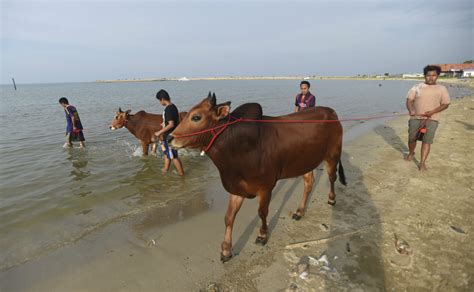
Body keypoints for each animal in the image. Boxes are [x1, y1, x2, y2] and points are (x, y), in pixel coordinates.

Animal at [168, 93, 346, 262]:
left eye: (196, 117)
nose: (170, 138)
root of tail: (332, 112)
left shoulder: (266, 188)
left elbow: (262, 212)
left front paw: (262, 236)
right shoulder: (237, 189)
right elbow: (229, 218)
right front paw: (226, 250)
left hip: (333, 155)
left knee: (332, 178)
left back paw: (331, 199)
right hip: (305, 162)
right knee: (309, 183)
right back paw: (300, 211)